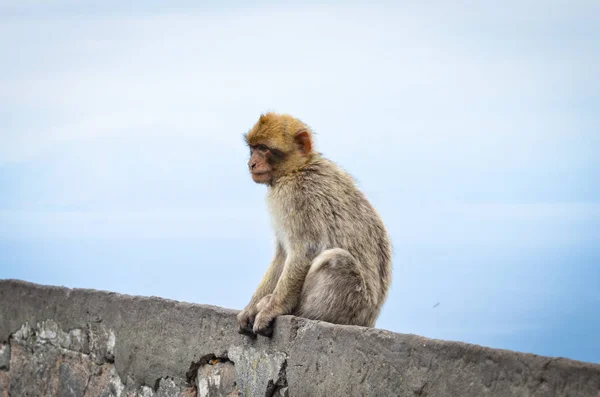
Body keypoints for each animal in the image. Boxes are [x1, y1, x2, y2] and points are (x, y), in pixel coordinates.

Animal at [237, 112, 392, 338]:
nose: (251, 163)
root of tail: (369, 321)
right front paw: (250, 309)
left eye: (264, 149)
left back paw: (293, 310)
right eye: (253, 148)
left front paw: (272, 309)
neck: (297, 169)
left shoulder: (296, 196)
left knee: (336, 259)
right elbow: (282, 255)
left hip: (353, 307)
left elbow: (305, 251)